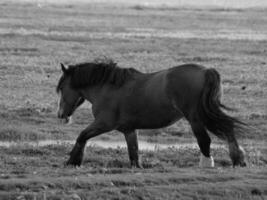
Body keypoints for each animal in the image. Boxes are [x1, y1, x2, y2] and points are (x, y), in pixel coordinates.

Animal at [56, 59, 247, 169]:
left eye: (62, 87)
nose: (61, 115)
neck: (108, 87)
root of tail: (206, 71)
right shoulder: (129, 130)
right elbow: (133, 152)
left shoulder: (104, 124)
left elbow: (82, 136)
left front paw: (73, 161)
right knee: (227, 130)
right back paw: (238, 160)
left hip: (196, 118)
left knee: (205, 140)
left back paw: (208, 163)